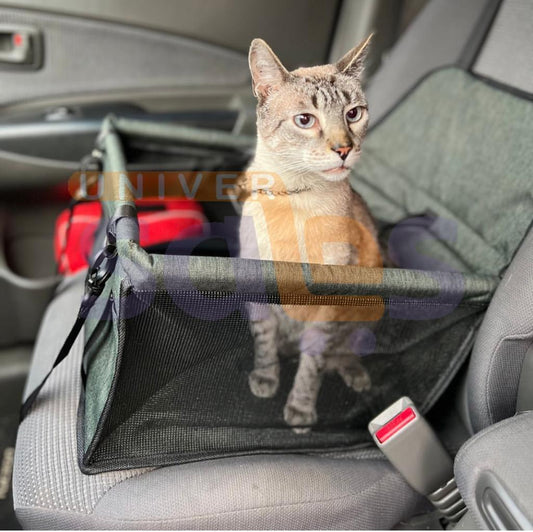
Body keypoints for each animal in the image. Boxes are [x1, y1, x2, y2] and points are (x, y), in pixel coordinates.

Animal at [235, 35, 380, 430]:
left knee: (345, 347)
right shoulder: (257, 284)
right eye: (305, 120)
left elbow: (312, 363)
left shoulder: (327, 303)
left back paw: (354, 371)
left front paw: (300, 408)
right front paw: (266, 376)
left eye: (353, 114)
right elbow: (264, 341)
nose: (344, 149)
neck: (295, 198)